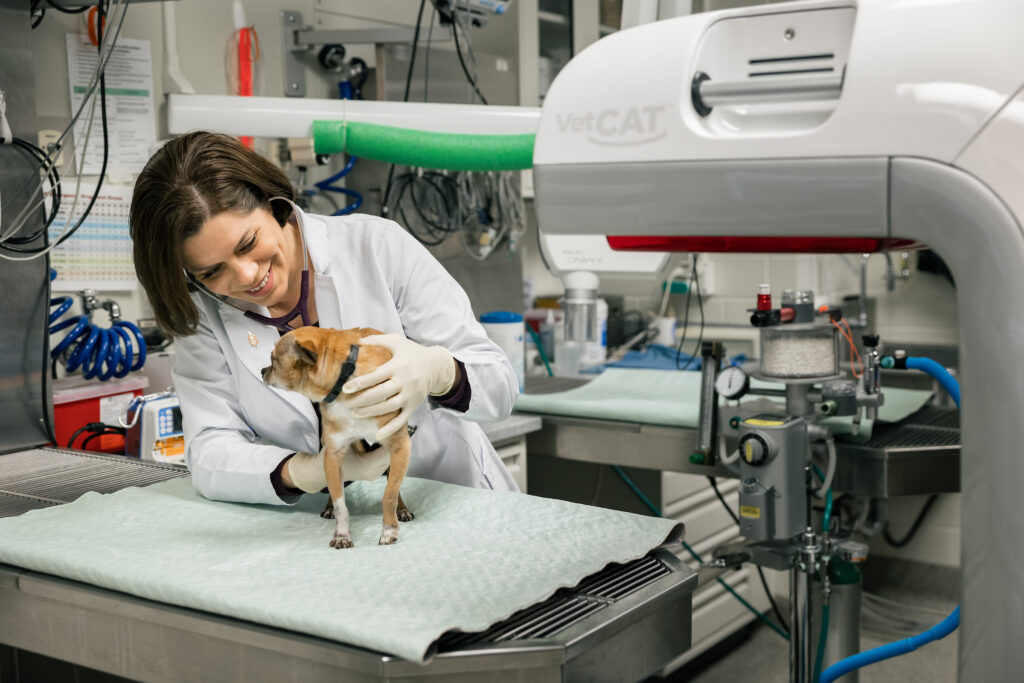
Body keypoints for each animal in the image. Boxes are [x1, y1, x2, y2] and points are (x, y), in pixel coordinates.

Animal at [264, 327, 415, 548]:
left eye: (273, 359)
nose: (262, 371)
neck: (345, 379)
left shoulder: (400, 446)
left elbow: (390, 495)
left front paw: (388, 530)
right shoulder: (332, 455)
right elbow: (339, 503)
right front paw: (342, 534)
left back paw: (402, 509)